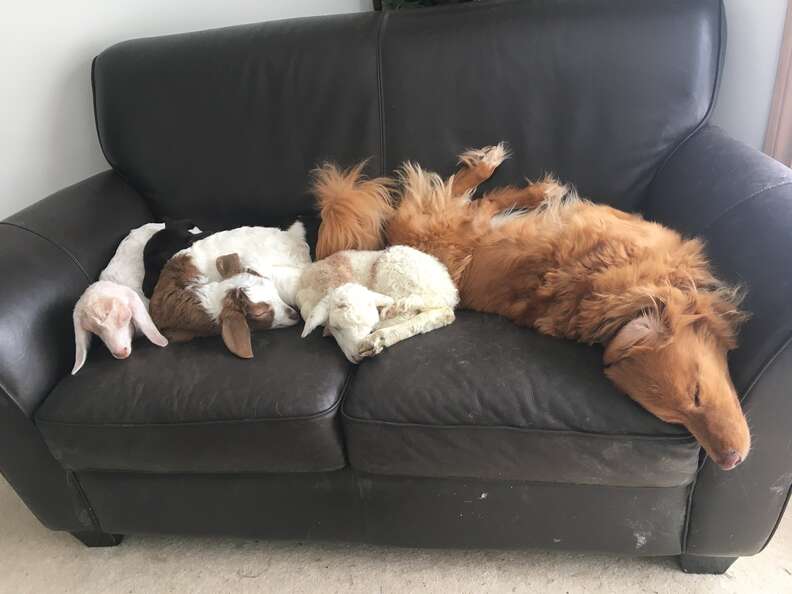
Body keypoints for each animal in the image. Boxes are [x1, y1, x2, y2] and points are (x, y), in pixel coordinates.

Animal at [296, 244, 458, 360]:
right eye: (337, 327)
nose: (358, 356)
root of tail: (449, 289)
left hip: (397, 275)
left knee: (411, 311)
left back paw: (378, 335)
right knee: (439, 314)